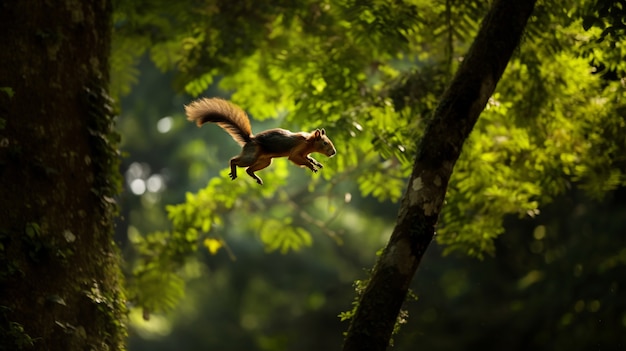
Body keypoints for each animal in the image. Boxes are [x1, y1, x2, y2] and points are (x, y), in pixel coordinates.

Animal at [183, 97, 334, 186]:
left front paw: (316, 163)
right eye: (325, 143)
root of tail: (249, 140)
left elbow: (308, 158)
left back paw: (256, 178)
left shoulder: (305, 153)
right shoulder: (298, 150)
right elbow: (296, 158)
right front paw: (311, 166)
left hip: (265, 161)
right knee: (235, 161)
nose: (333, 152)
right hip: (251, 156)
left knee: (249, 170)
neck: (309, 142)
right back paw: (234, 170)